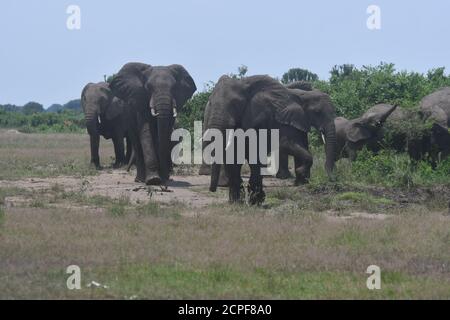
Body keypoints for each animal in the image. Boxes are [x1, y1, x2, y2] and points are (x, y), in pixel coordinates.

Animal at [204, 75, 338, 202]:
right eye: (318, 112)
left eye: (235, 104)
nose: (212, 190)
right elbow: (284, 144)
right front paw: (301, 175)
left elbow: (297, 144)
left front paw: (301, 181)